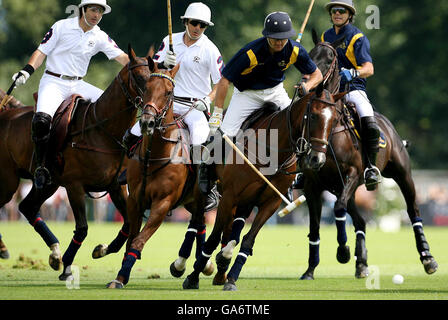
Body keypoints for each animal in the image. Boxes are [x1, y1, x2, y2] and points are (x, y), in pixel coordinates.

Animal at [0, 45, 154, 280]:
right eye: (138, 76)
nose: (153, 109)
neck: (104, 131)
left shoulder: (115, 186)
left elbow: (128, 223)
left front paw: (101, 250)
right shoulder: (75, 186)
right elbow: (82, 229)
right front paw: (67, 268)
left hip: (49, 183)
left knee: (27, 207)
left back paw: (54, 252)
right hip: (9, 180)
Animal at [107, 62, 215, 288]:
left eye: (168, 92)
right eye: (146, 88)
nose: (147, 122)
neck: (154, 154)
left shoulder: (162, 203)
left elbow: (138, 240)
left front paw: (121, 277)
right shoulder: (135, 200)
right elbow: (131, 238)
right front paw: (121, 277)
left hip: (199, 196)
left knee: (200, 221)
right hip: (190, 200)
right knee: (200, 223)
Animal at [182, 85, 346, 292]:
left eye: (334, 120)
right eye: (314, 116)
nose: (317, 159)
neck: (272, 151)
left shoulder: (271, 202)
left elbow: (247, 240)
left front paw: (231, 279)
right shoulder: (229, 196)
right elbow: (212, 239)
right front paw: (193, 277)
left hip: (246, 201)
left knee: (231, 230)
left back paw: (222, 269)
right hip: (207, 193)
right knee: (199, 222)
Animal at [296, 33, 440, 280]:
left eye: (330, 58)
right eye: (311, 54)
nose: (306, 82)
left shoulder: (353, 174)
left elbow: (338, 209)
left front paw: (343, 252)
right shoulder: (312, 185)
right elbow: (314, 227)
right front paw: (310, 269)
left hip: (402, 175)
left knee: (413, 211)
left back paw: (428, 258)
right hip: (343, 188)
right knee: (360, 220)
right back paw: (361, 264)